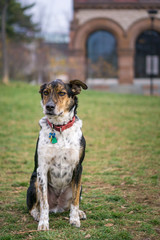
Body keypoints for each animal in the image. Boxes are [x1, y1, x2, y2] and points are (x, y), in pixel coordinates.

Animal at [26, 79, 88, 231]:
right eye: (45, 92)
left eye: (62, 93)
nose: (49, 106)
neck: (59, 128)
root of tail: (57, 207)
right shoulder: (42, 169)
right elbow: (44, 203)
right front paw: (43, 223)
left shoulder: (78, 167)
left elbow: (75, 201)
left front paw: (74, 219)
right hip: (34, 182)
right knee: (33, 207)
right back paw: (37, 215)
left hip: (80, 185)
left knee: (72, 201)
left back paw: (79, 213)